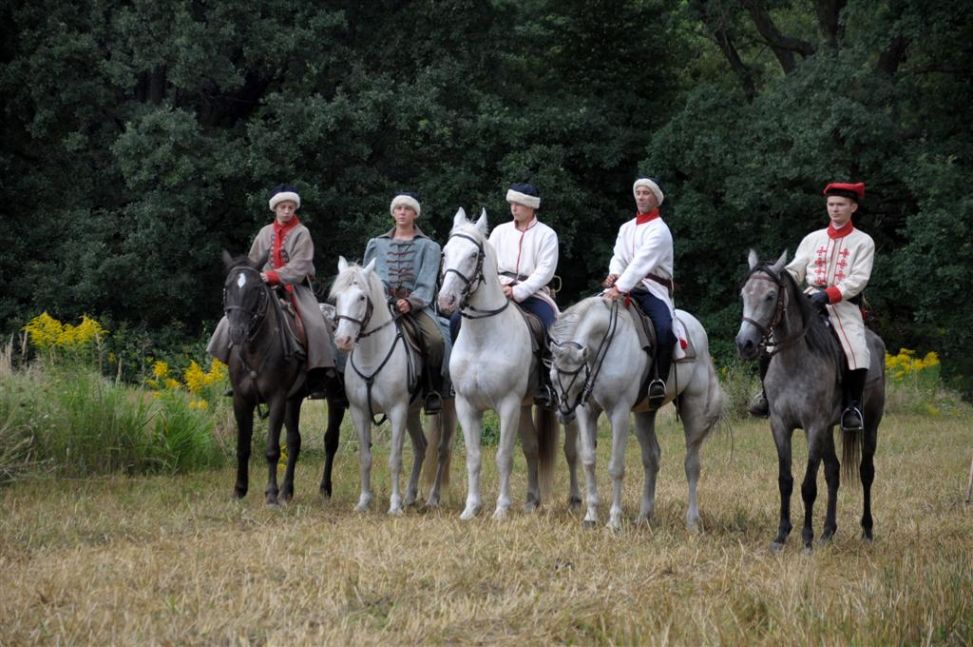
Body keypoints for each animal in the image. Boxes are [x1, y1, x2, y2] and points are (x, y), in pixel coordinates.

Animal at [220, 252, 346, 506]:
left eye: (257, 289)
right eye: (227, 287)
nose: (236, 332)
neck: (255, 350)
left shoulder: (277, 398)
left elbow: (272, 449)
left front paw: (270, 494)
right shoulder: (241, 400)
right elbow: (243, 447)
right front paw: (239, 490)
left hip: (334, 398)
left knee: (330, 441)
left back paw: (324, 489)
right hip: (294, 400)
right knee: (295, 441)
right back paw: (287, 491)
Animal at [330, 258, 456, 516]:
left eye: (362, 297)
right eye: (337, 297)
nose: (343, 340)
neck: (371, 356)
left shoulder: (397, 411)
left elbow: (394, 459)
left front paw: (394, 506)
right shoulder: (359, 412)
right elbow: (365, 458)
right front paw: (363, 502)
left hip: (448, 407)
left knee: (442, 449)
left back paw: (432, 498)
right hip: (412, 411)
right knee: (421, 446)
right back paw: (410, 496)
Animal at [434, 210, 576, 524]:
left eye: (474, 255)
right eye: (445, 252)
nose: (446, 300)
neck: (483, 338)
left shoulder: (507, 404)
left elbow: (503, 456)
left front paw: (501, 509)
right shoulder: (466, 406)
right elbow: (474, 456)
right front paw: (471, 509)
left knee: (572, 450)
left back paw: (575, 500)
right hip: (525, 406)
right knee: (533, 448)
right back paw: (531, 501)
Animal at [548, 296, 720, 528]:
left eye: (577, 379)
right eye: (553, 377)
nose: (564, 415)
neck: (603, 348)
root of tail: (698, 328)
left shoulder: (619, 412)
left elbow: (616, 467)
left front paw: (614, 521)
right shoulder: (587, 412)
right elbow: (588, 460)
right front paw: (590, 516)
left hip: (693, 407)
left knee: (692, 464)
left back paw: (692, 521)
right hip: (645, 414)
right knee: (651, 459)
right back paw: (644, 516)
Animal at [732, 251, 884, 556]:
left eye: (770, 296)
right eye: (744, 294)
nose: (745, 344)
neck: (794, 361)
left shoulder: (813, 427)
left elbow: (808, 486)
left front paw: (806, 538)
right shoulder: (781, 426)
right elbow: (786, 481)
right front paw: (781, 535)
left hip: (870, 424)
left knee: (866, 472)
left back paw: (866, 530)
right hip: (828, 430)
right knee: (834, 472)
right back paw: (828, 531)